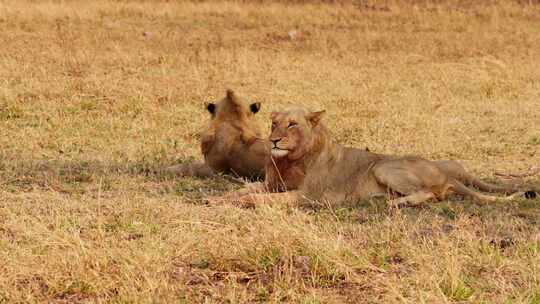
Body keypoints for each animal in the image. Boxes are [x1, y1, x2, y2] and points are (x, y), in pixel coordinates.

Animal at [208, 106, 536, 207]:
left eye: (293, 124)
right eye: (274, 123)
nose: (274, 140)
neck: (290, 159)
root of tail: (443, 171)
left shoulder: (306, 196)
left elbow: (258, 198)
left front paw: (241, 202)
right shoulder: (271, 184)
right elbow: (246, 189)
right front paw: (218, 198)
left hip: (385, 167)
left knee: (432, 193)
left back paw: (397, 203)